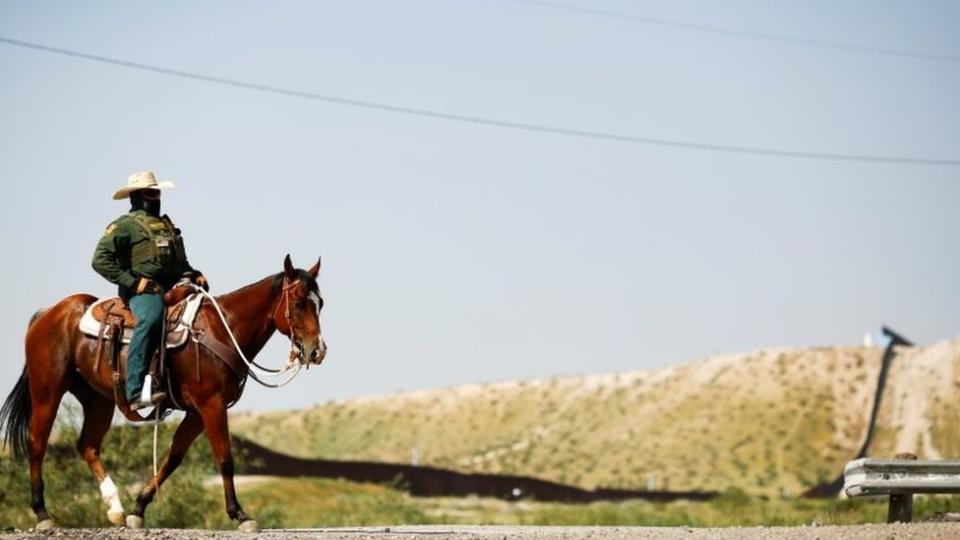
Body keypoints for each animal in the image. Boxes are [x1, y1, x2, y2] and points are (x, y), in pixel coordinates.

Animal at [0, 255, 326, 528]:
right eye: (299, 303)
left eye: (320, 303)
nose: (317, 351)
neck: (222, 330)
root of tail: (48, 313)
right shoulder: (211, 405)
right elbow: (225, 457)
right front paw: (239, 514)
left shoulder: (196, 413)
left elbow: (173, 457)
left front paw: (138, 508)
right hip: (47, 390)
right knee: (37, 443)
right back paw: (43, 513)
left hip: (99, 400)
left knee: (88, 446)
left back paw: (115, 509)